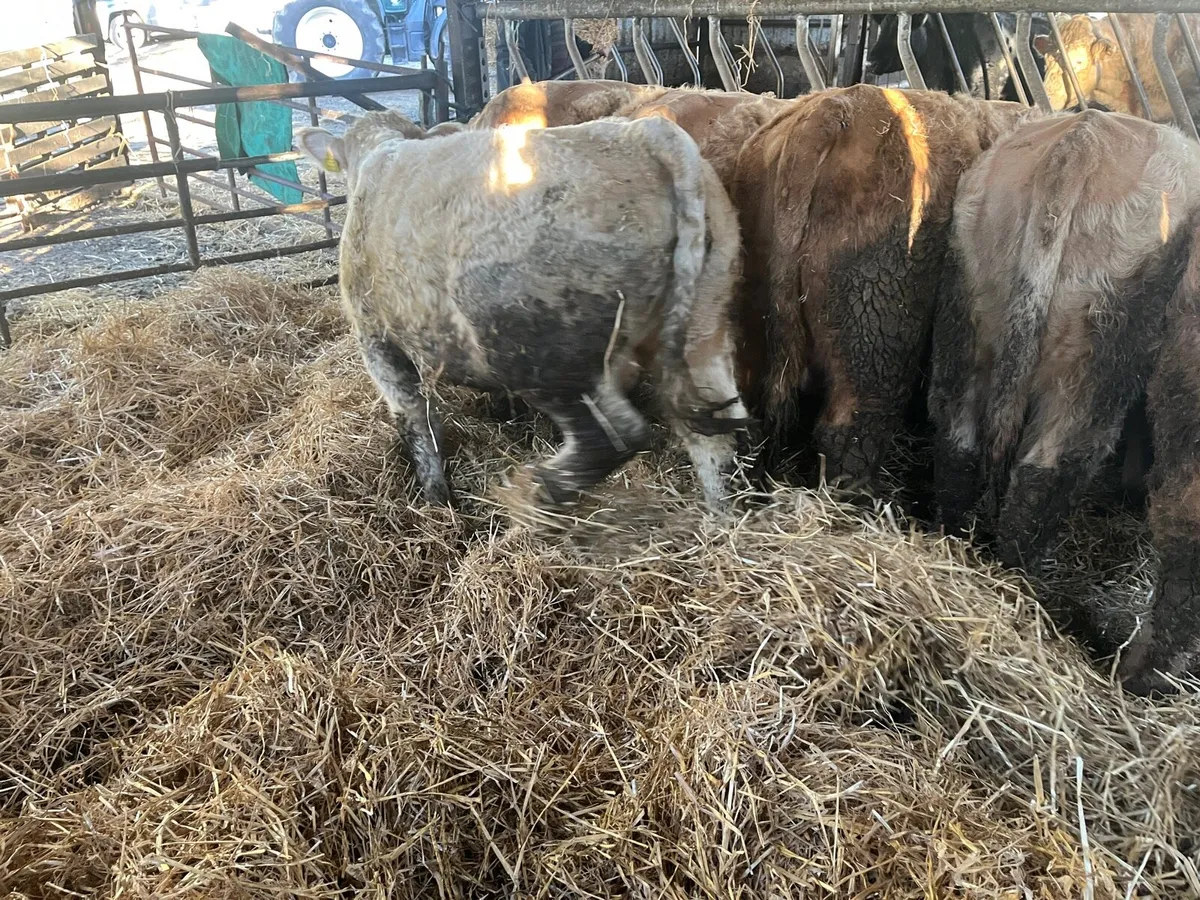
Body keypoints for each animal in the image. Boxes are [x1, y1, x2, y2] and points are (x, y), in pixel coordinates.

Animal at [294, 110, 750, 511]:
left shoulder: (377, 339)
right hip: (703, 329)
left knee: (616, 437)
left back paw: (535, 495)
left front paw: (436, 501)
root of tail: (645, 132)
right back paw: (720, 525)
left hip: (544, 352)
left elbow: (415, 422)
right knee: (718, 437)